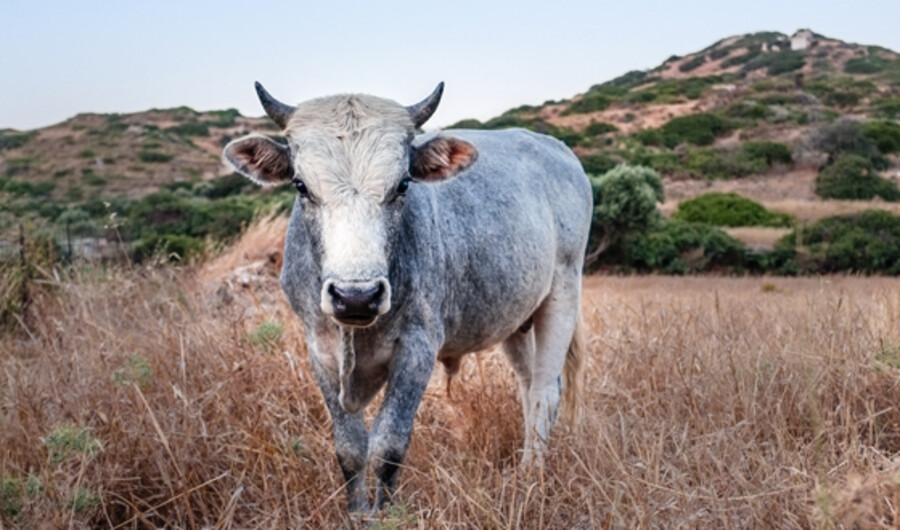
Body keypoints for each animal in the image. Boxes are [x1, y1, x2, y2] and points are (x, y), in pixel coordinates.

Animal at [222, 81, 596, 512]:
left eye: (402, 185)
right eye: (301, 186)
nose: (356, 297)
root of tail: (558, 151)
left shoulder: (418, 348)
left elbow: (387, 445)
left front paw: (384, 513)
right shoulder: (319, 349)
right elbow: (350, 447)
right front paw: (356, 513)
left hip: (563, 294)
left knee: (545, 392)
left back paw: (530, 475)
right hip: (516, 321)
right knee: (527, 386)